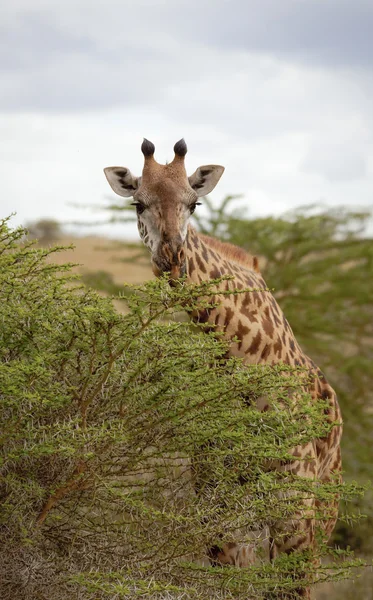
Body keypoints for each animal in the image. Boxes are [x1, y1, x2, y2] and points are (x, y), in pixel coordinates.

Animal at [103, 138, 342, 596]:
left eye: (194, 203)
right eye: (138, 203)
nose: (172, 254)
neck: (244, 359)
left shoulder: (293, 504)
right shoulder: (214, 496)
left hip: (324, 510)